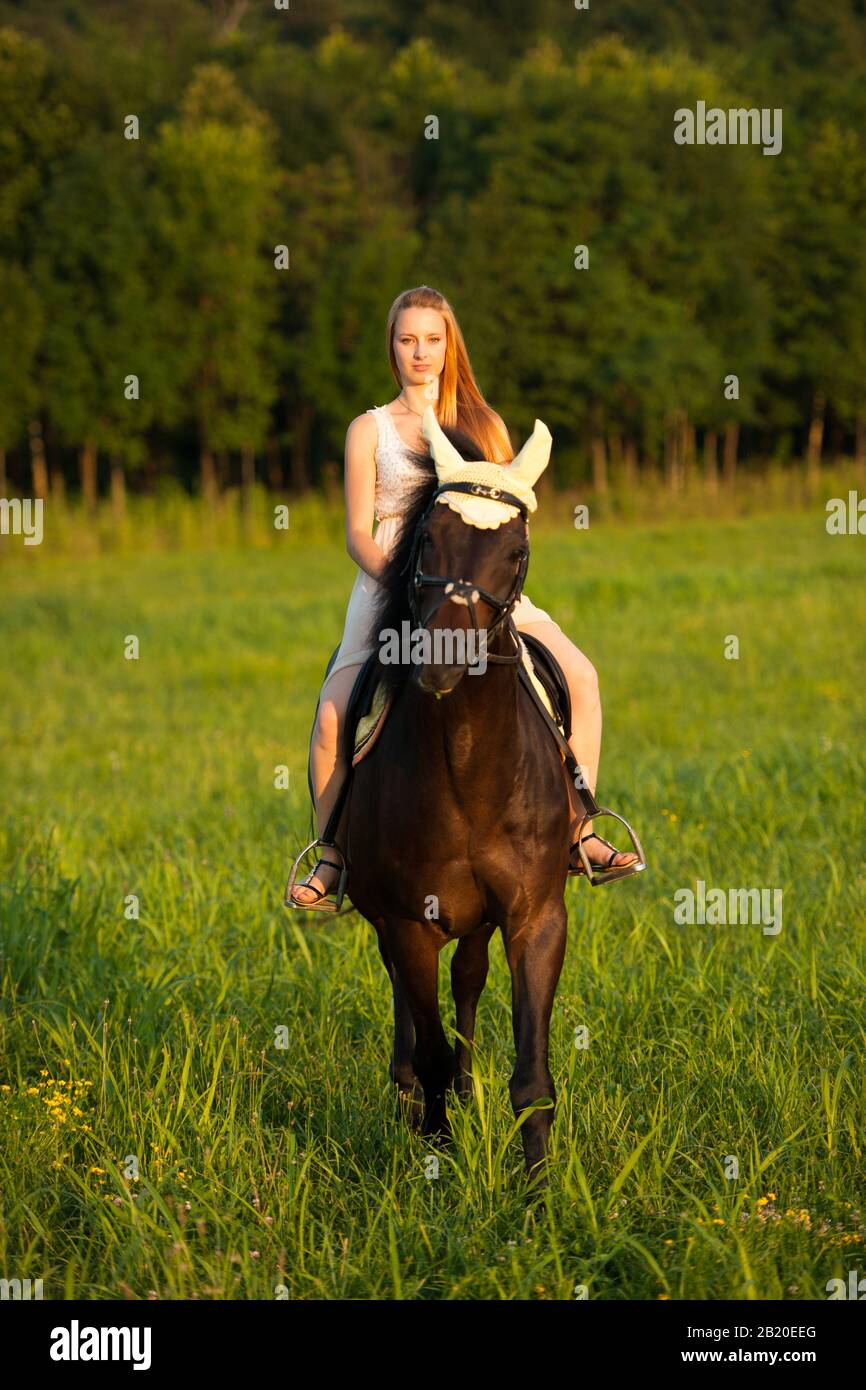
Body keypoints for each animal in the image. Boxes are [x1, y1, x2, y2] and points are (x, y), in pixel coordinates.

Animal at [343, 407, 576, 1182]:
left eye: (516, 551)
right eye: (426, 540)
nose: (440, 664)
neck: (470, 769)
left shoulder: (536, 917)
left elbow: (531, 1078)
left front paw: (538, 1193)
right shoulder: (409, 923)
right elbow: (431, 1050)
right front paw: (437, 1160)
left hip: (479, 922)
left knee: (469, 982)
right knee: (412, 1013)